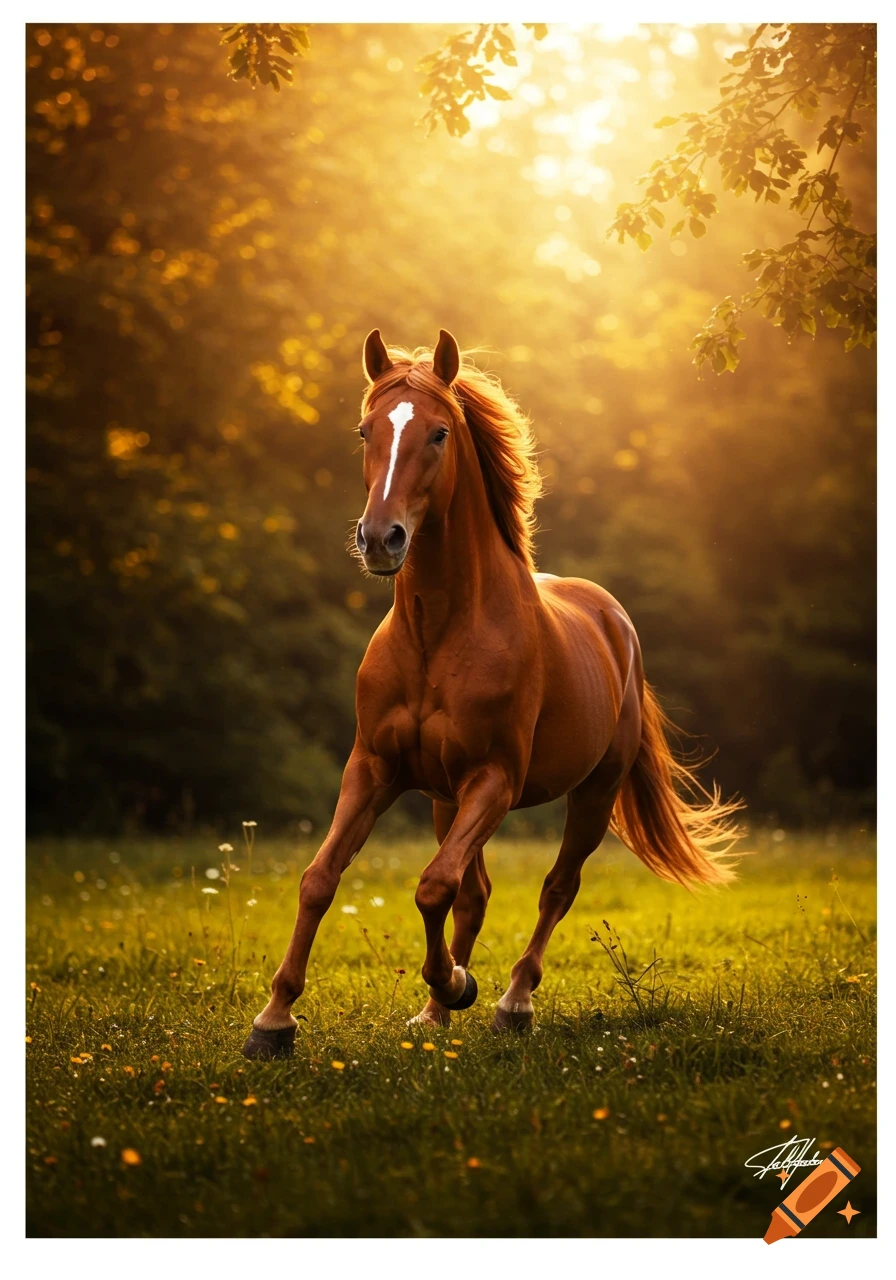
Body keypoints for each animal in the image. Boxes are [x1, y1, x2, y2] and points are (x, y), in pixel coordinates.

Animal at [242, 329, 742, 1059]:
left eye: (439, 433)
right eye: (366, 430)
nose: (380, 539)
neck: (439, 631)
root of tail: (613, 621)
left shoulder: (494, 780)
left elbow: (433, 887)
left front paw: (457, 984)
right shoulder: (375, 769)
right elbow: (321, 879)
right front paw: (274, 1020)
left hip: (590, 793)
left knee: (555, 888)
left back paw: (510, 1001)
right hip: (446, 800)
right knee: (474, 891)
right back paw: (435, 1015)